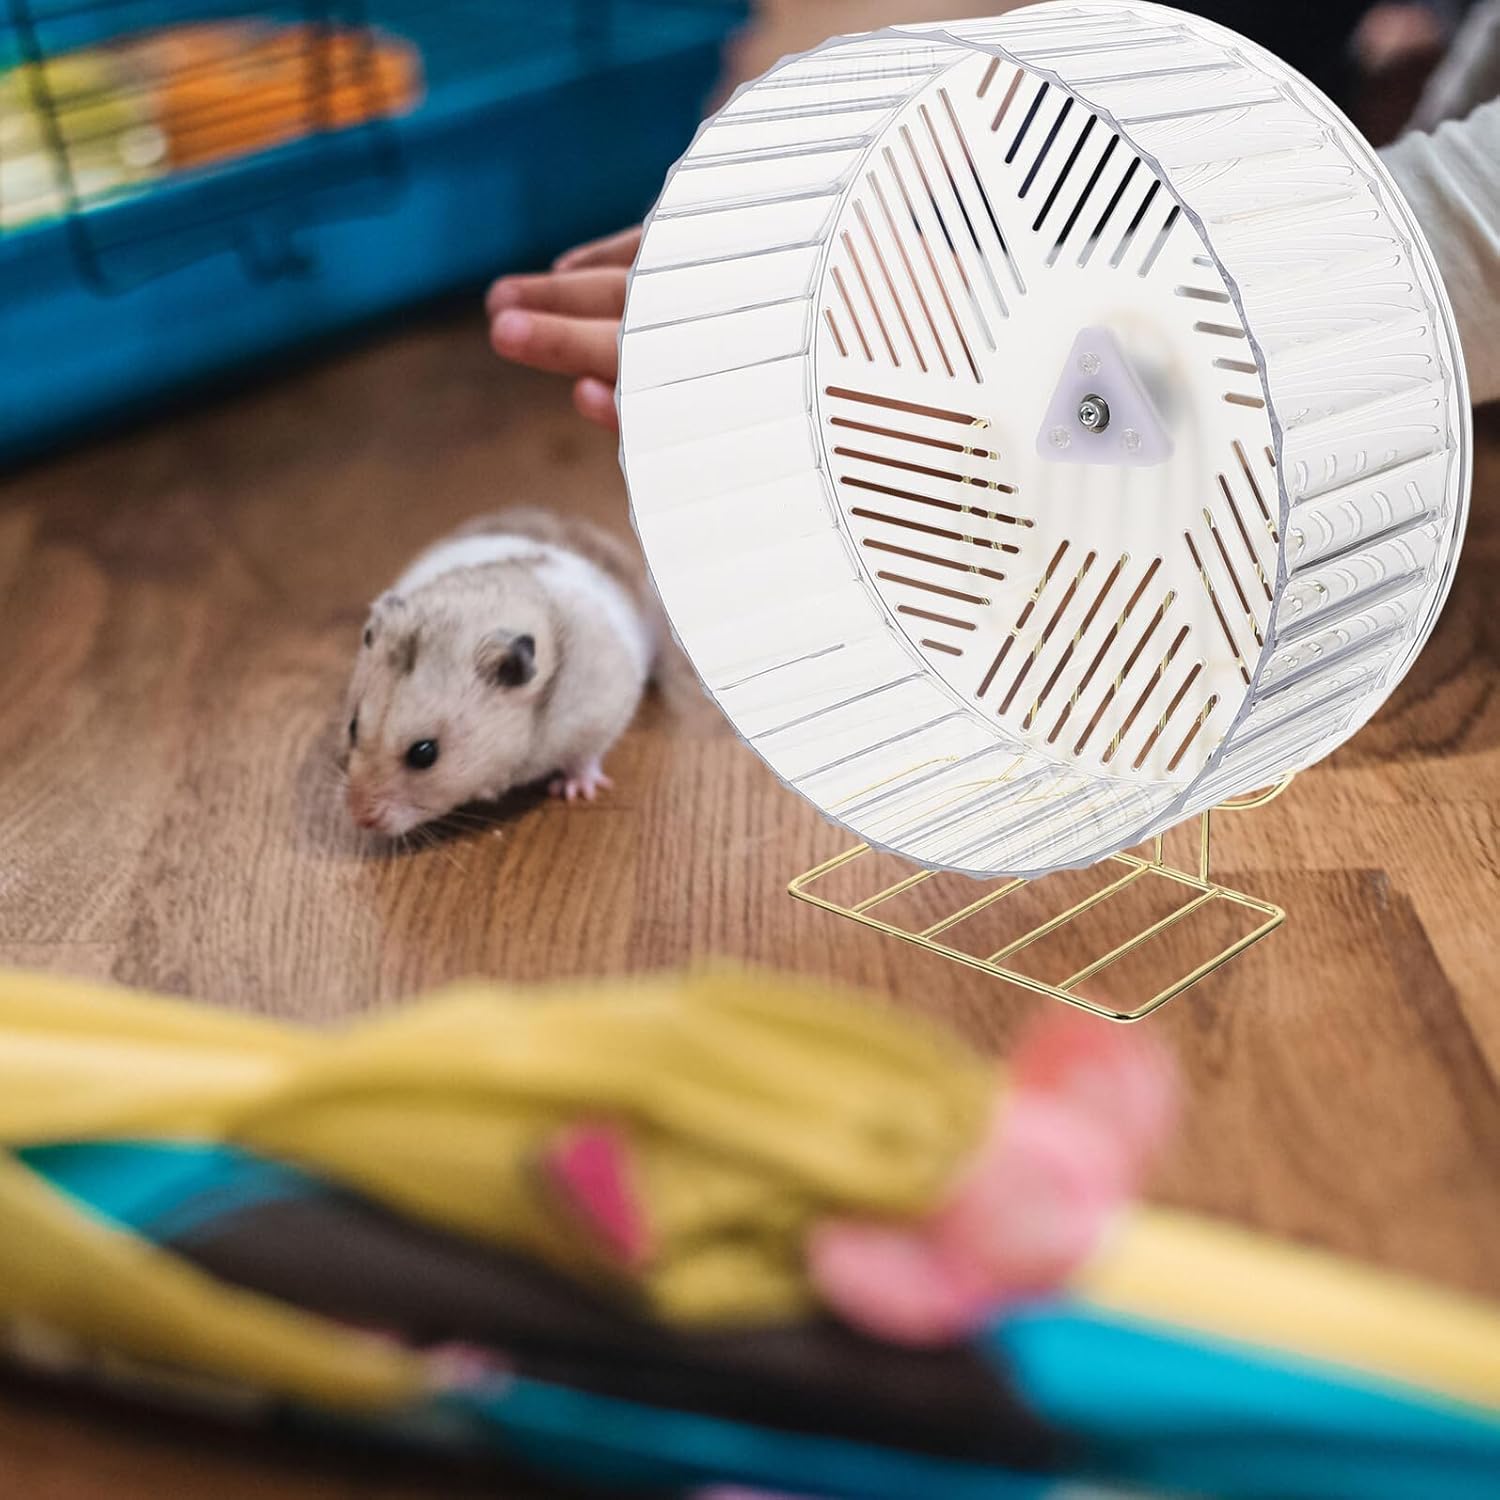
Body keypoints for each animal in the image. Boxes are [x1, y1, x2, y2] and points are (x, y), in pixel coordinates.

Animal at [343, 508, 657, 836]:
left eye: (424, 753)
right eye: (352, 727)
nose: (360, 817)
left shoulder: (601, 715)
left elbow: (585, 757)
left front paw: (575, 792)